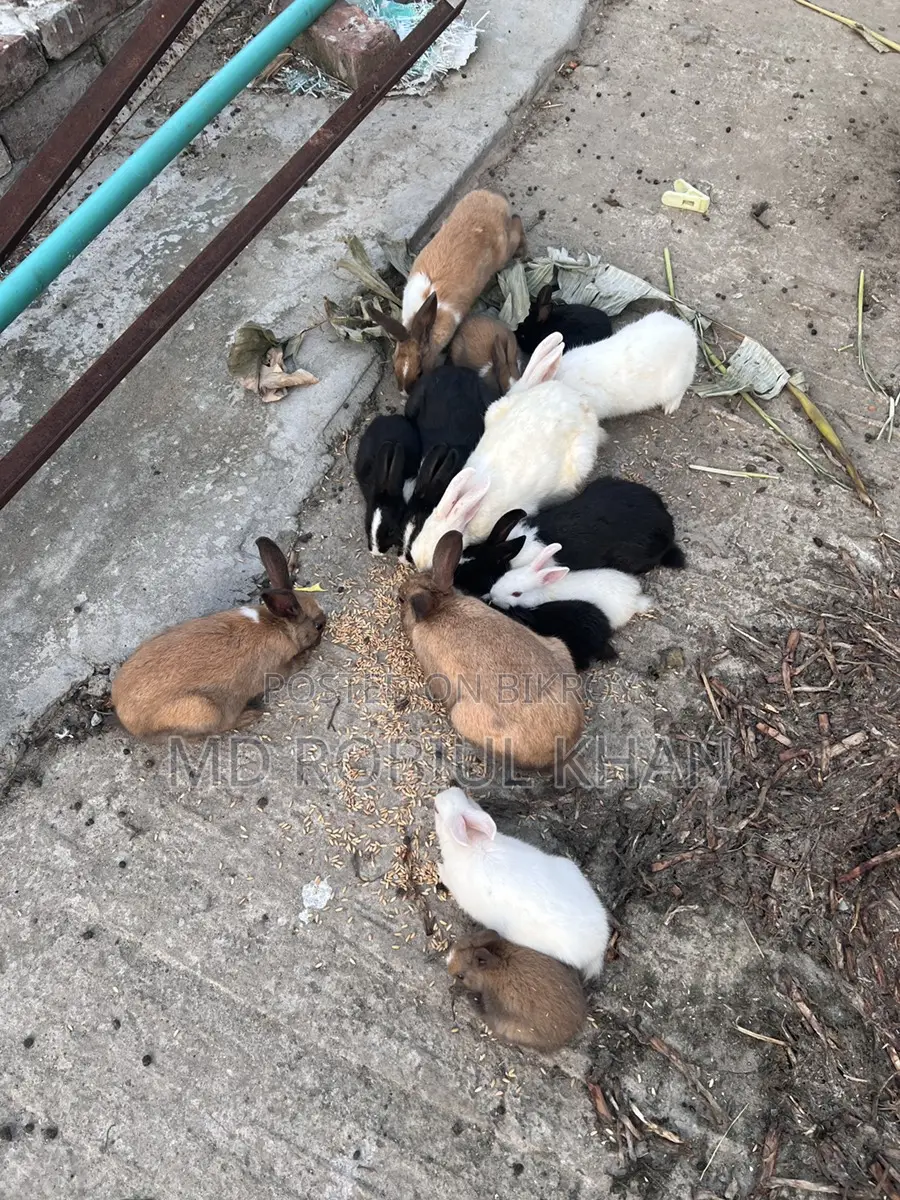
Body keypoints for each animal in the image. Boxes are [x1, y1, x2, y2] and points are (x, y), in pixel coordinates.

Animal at [112, 538, 326, 740]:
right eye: (318, 625)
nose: (323, 629)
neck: (280, 626)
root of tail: (128, 721)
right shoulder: (276, 669)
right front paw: (304, 658)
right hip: (206, 710)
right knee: (220, 726)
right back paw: (251, 715)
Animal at [370, 190, 525, 393]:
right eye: (394, 365)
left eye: (420, 372)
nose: (404, 393)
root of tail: (493, 198)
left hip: (504, 249)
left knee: (516, 224)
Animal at [399, 532, 583, 770]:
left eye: (401, 599)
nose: (399, 592)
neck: (440, 607)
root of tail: (563, 752)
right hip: (558, 646)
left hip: (462, 716)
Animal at [434, 788, 610, 977]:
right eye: (466, 796)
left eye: (436, 811)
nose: (437, 797)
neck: (471, 844)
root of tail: (598, 948)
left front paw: (438, 866)